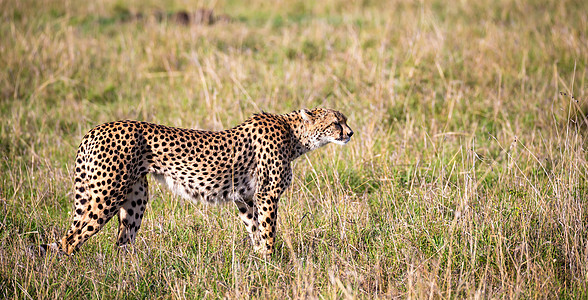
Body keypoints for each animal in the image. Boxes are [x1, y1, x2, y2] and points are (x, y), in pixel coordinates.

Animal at [41, 108, 354, 255]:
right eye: (335, 123)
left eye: (345, 120)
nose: (350, 133)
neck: (294, 136)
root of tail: (96, 128)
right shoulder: (266, 196)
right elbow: (267, 232)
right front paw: (272, 264)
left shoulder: (245, 198)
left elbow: (255, 230)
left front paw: (260, 262)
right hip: (107, 195)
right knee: (69, 240)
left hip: (135, 198)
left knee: (121, 242)